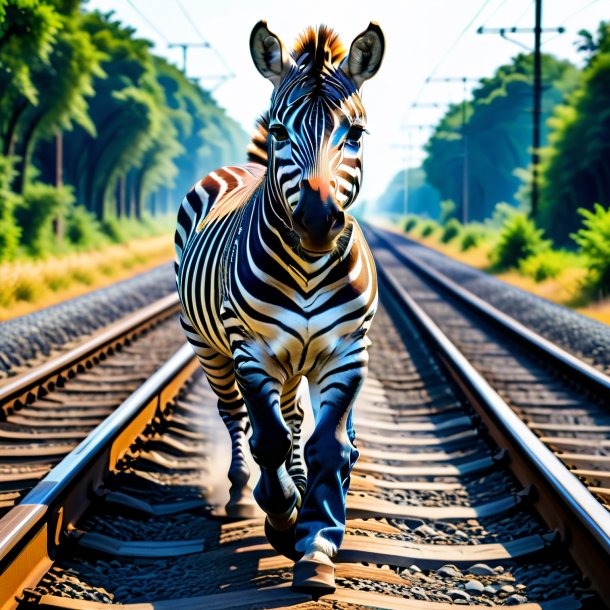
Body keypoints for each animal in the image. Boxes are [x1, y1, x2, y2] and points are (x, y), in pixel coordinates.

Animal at [173, 20, 380, 592]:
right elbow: (266, 438)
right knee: (236, 415)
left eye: (355, 135)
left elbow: (328, 445)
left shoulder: (347, 353)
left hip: (296, 360)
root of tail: (240, 168)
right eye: (282, 132)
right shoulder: (252, 352)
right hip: (210, 347)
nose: (317, 221)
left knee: (293, 416)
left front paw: (317, 542)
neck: (307, 266)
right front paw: (283, 516)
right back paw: (242, 494)